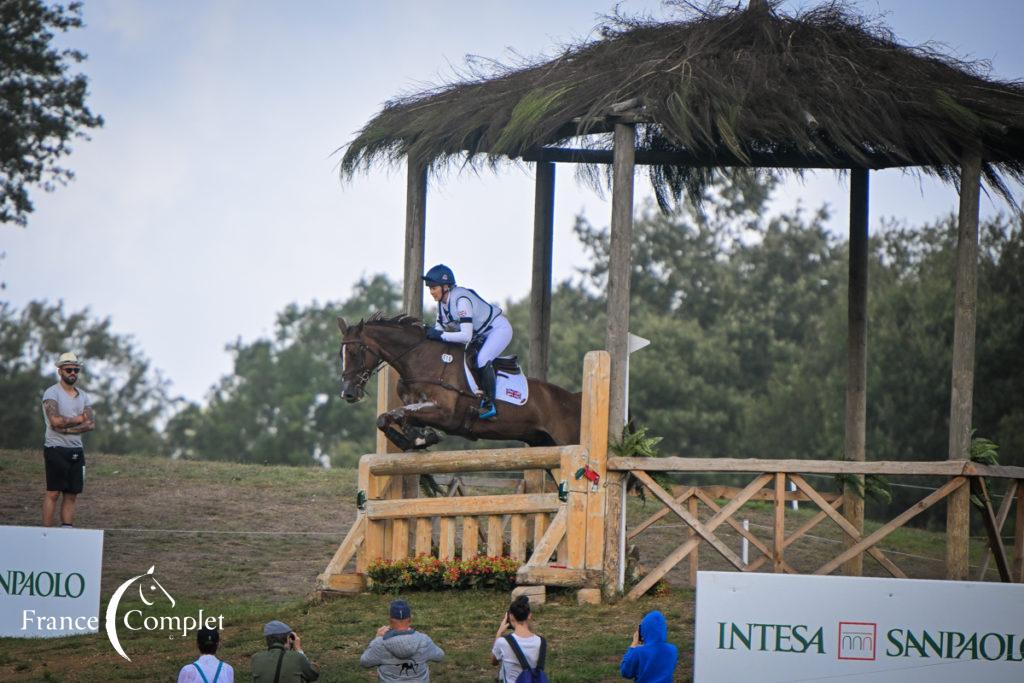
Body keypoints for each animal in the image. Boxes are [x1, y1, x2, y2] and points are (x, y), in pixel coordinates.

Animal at [339, 313, 581, 450]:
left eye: (353, 352)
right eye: (340, 354)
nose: (348, 393)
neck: (419, 359)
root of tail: (575, 399)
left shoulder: (446, 413)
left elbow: (398, 414)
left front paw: (421, 439)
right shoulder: (415, 406)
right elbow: (392, 417)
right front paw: (419, 438)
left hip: (566, 441)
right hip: (542, 442)